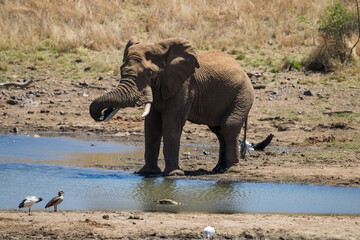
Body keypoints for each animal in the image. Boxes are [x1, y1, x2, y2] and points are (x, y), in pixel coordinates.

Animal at [88, 37, 255, 176]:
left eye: (150, 72)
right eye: (121, 70)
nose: (102, 114)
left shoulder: (184, 86)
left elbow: (171, 124)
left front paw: (173, 175)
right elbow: (152, 126)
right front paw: (147, 173)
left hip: (243, 94)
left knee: (228, 127)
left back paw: (231, 169)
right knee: (218, 131)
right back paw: (218, 169)